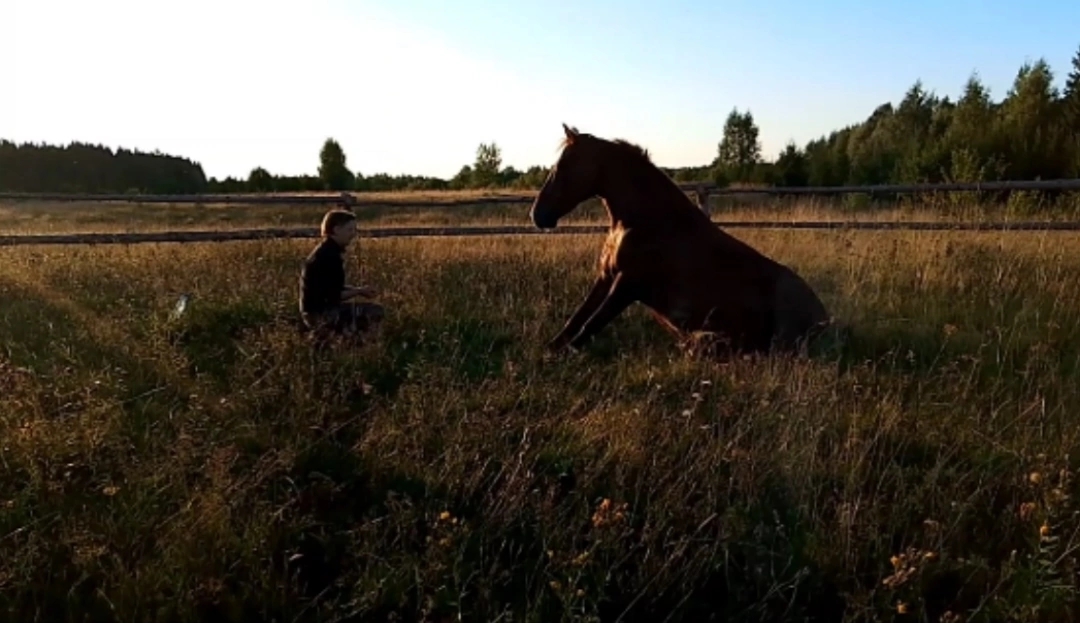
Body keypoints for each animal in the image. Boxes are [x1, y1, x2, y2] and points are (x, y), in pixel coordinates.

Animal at [529, 123, 833, 358]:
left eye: (563, 166)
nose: (537, 215)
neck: (645, 222)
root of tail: (825, 320)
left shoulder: (627, 284)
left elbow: (590, 325)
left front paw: (558, 357)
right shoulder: (607, 277)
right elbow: (577, 318)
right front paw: (549, 349)